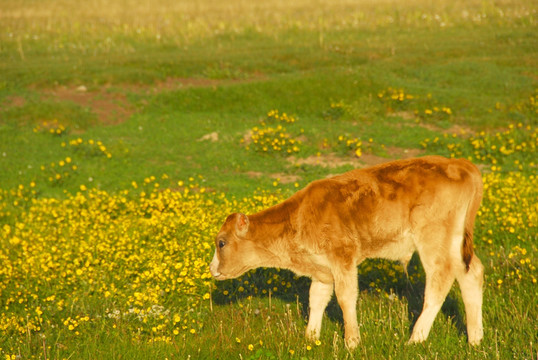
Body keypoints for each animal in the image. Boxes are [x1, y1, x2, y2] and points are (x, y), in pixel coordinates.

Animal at [208, 157, 482, 348]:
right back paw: (475, 339)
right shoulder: (321, 269)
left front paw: (352, 342)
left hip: (432, 240)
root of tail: (460, 163)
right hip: (456, 244)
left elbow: (345, 297)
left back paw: (415, 339)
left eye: (221, 243)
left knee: (440, 280)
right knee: (471, 274)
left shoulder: (343, 259)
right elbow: (316, 298)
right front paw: (311, 338)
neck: (300, 216)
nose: (212, 269)